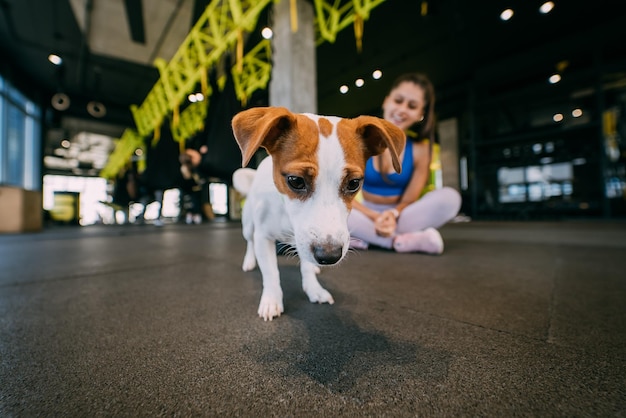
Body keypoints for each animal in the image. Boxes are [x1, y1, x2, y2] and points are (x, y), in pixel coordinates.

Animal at [232, 107, 402, 320]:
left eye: (354, 183)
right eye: (296, 180)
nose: (329, 256)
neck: (288, 215)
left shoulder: (306, 240)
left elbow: (305, 266)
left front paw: (313, 287)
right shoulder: (264, 237)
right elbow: (271, 273)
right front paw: (272, 299)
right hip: (248, 225)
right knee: (249, 241)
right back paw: (249, 261)